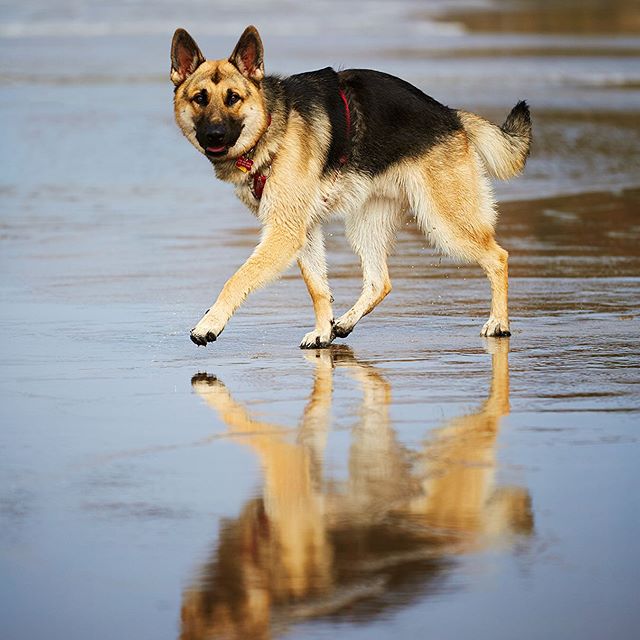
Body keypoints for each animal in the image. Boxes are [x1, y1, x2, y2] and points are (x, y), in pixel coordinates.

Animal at [169, 25, 528, 348]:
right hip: (365, 225)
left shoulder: (284, 233)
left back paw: (498, 323)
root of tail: (451, 116)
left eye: (233, 98)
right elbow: (318, 288)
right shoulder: (303, 231)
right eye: (199, 99)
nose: (214, 135)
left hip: (444, 222)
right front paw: (322, 332)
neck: (273, 126)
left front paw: (210, 323)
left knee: (498, 257)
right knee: (380, 282)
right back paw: (343, 323)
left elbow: (238, 278)